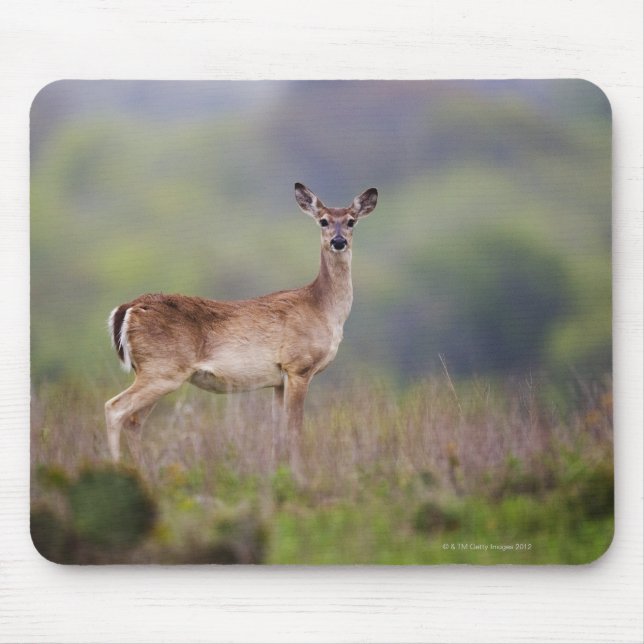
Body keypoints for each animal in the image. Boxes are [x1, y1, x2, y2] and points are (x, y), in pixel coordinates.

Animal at [105, 183, 378, 473]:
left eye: (351, 221)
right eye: (323, 221)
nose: (338, 241)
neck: (323, 308)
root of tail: (128, 308)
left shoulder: (278, 380)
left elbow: (277, 433)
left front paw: (277, 472)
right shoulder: (299, 366)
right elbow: (295, 430)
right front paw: (298, 474)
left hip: (154, 372)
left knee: (134, 421)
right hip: (162, 369)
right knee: (115, 408)